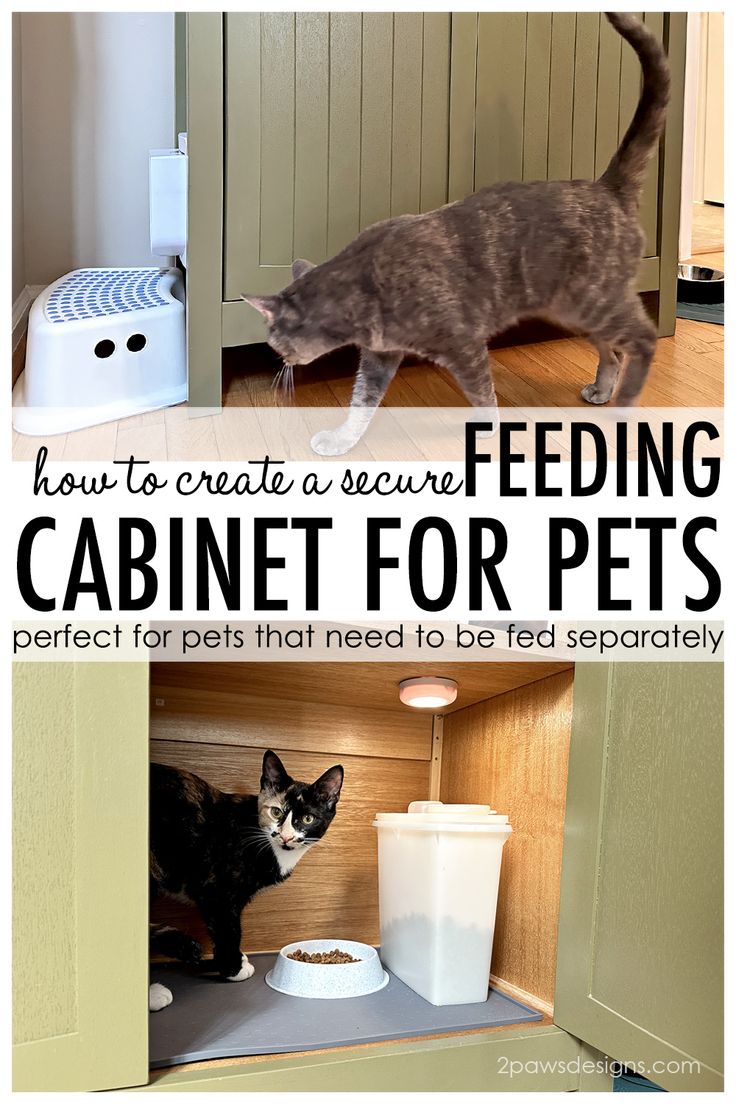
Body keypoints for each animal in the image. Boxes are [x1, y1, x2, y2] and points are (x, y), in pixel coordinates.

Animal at [150, 750, 348, 1011]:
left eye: (307, 818)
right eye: (276, 812)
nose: (286, 836)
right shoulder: (217, 892)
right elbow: (229, 931)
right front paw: (233, 969)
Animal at [244, 14, 670, 452]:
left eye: (273, 340)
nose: (278, 360)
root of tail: (606, 186)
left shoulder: (464, 345)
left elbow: (482, 394)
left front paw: (488, 428)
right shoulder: (380, 356)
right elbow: (360, 403)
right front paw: (341, 440)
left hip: (594, 301)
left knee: (644, 337)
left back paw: (626, 401)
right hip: (571, 310)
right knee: (613, 351)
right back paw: (603, 389)